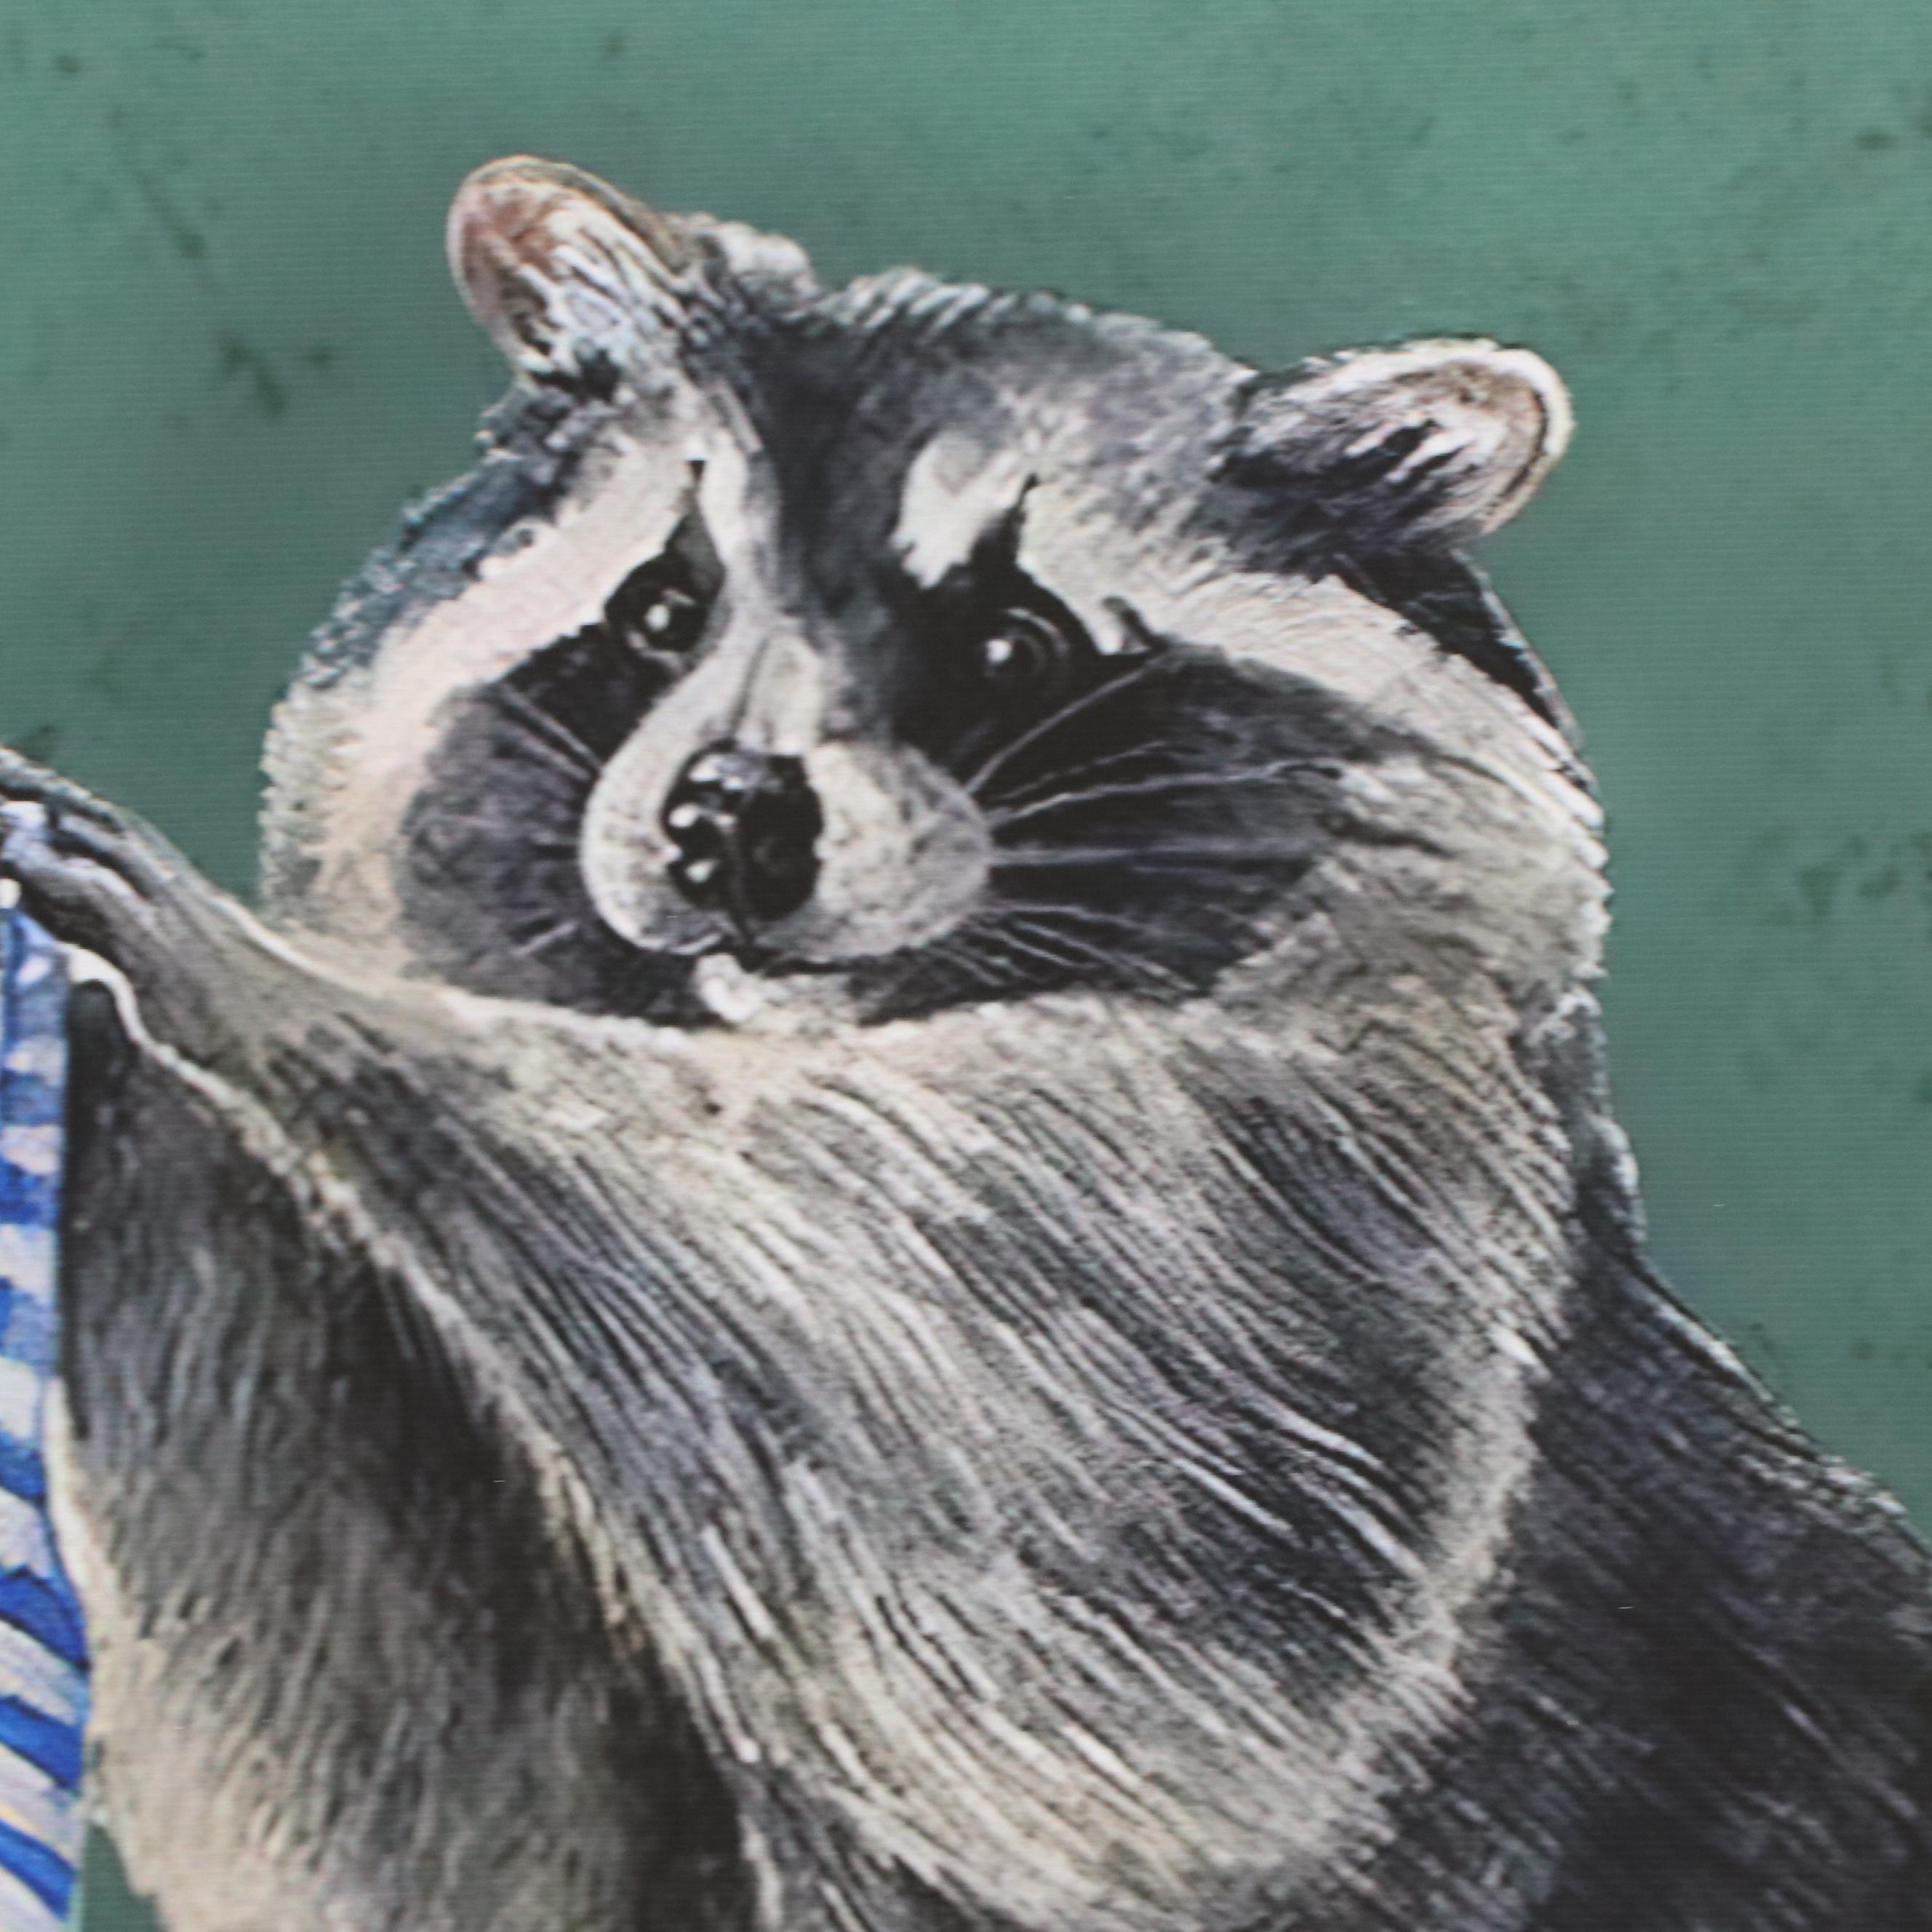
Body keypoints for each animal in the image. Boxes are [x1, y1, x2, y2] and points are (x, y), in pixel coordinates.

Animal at [2, 156, 1929, 1932]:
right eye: (661, 610)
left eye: (1011, 642)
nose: (729, 819)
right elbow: (415, 1754)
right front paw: (122, 1073)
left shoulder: (1342, 1222)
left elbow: (1076, 1499)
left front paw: (267, 987)